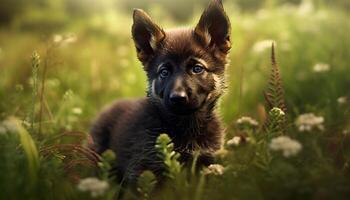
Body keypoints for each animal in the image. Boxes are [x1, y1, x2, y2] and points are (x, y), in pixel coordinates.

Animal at [90, 0, 231, 184]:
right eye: (164, 72)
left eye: (197, 68)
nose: (177, 98)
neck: (187, 126)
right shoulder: (144, 169)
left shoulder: (209, 162)